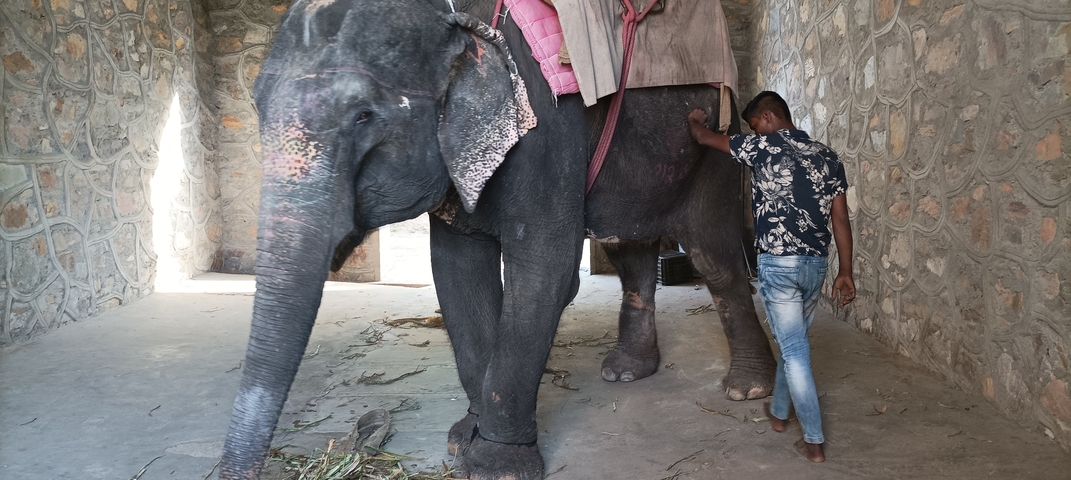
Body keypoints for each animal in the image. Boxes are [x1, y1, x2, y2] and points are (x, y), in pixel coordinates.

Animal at [219, 0, 775, 478]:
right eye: (257, 106)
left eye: (363, 116)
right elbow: (456, 270)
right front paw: (462, 439)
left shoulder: (547, 127)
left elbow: (545, 268)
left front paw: (497, 465)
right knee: (628, 248)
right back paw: (625, 373)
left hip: (712, 143)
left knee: (712, 255)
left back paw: (746, 390)